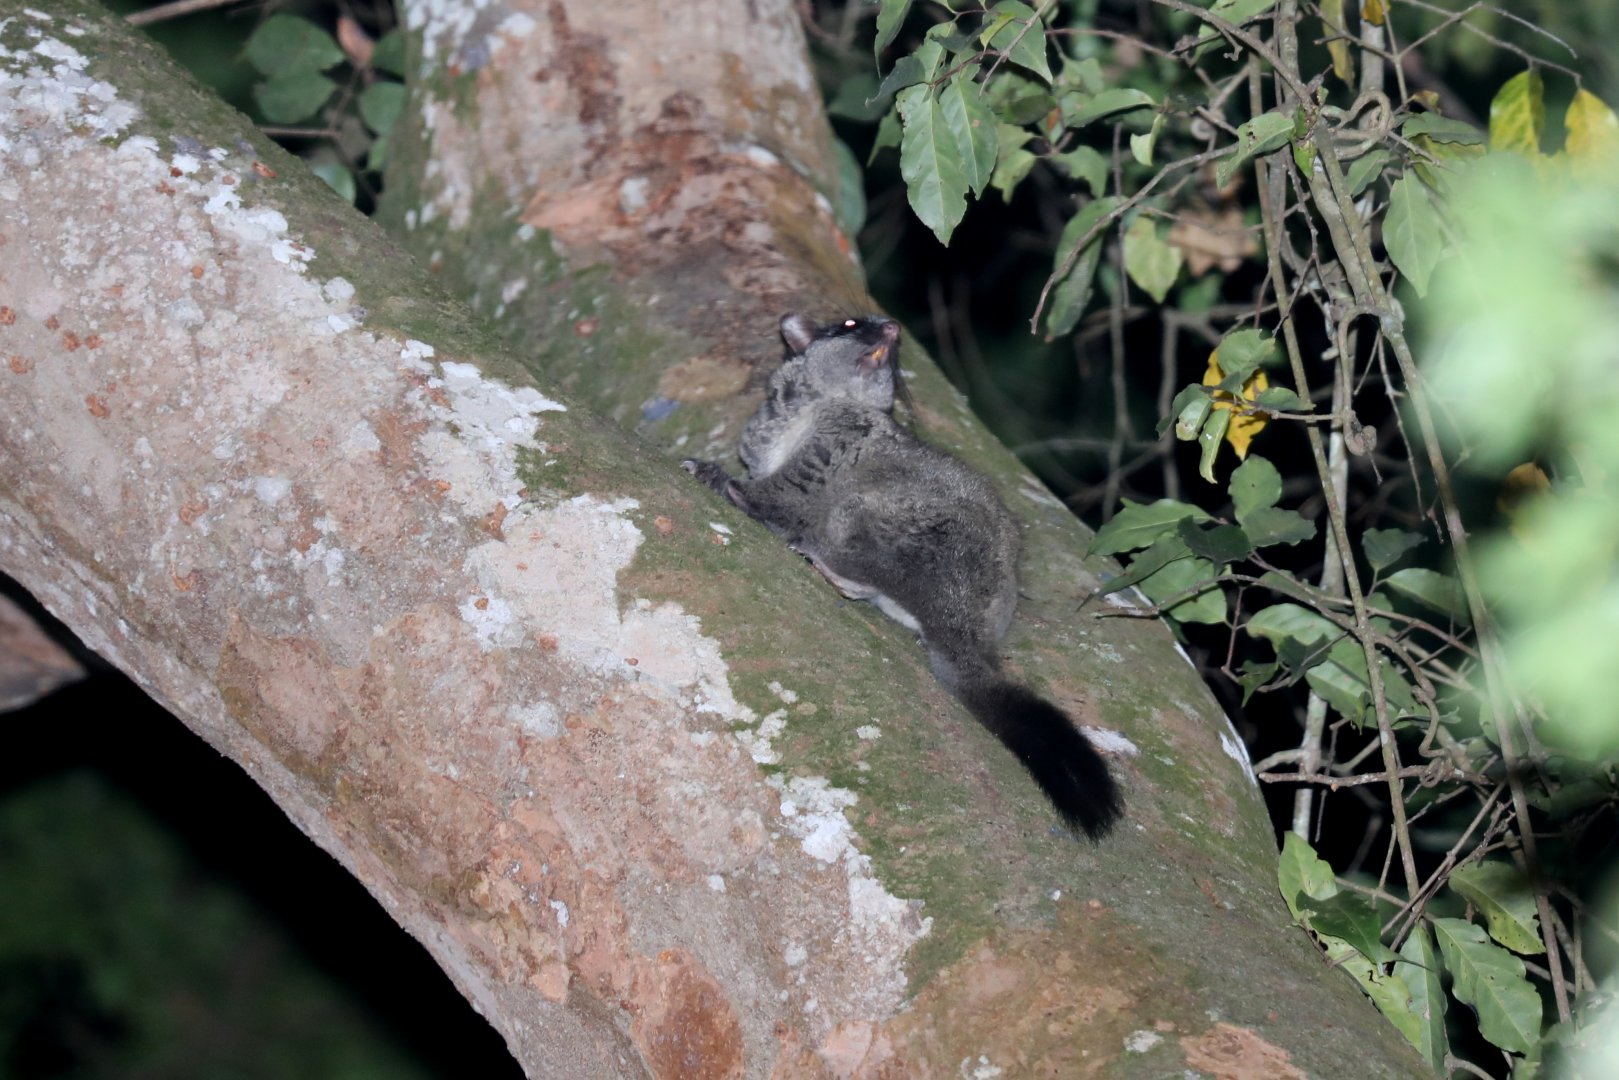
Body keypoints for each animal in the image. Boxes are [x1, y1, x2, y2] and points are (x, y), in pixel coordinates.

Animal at [682, 313, 1123, 839]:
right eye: (851, 324)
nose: (892, 326)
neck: (814, 405)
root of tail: (965, 626)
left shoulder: (839, 441)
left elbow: (783, 493)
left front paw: (721, 481)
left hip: (905, 531)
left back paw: (826, 561)